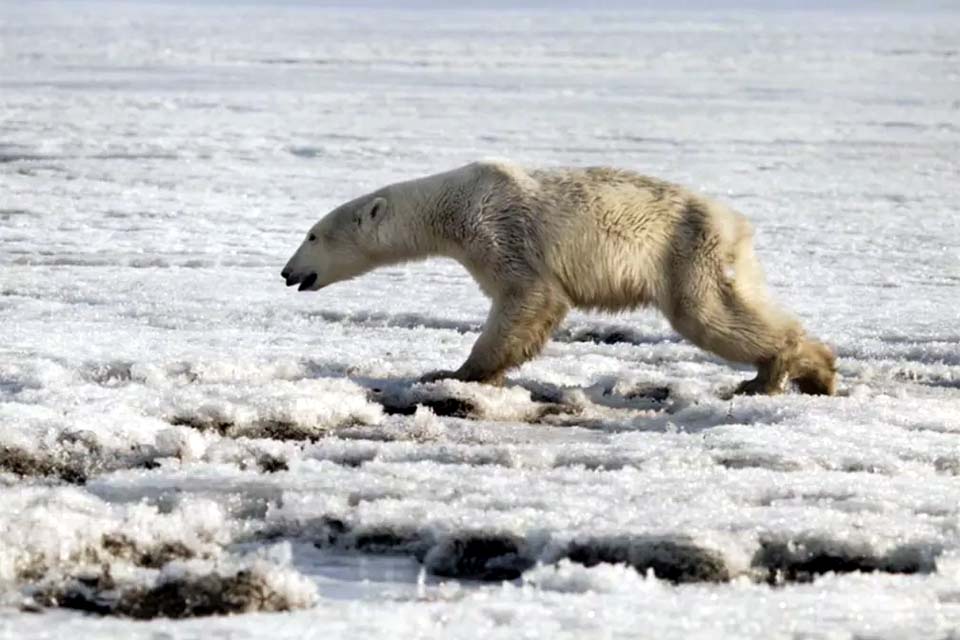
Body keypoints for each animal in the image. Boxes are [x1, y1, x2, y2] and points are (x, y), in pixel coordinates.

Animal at [282, 160, 836, 396]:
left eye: (312, 235)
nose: (288, 273)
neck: (454, 204)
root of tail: (735, 223)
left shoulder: (500, 229)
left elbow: (528, 297)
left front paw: (451, 373)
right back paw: (813, 370)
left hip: (686, 250)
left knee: (708, 315)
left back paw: (774, 374)